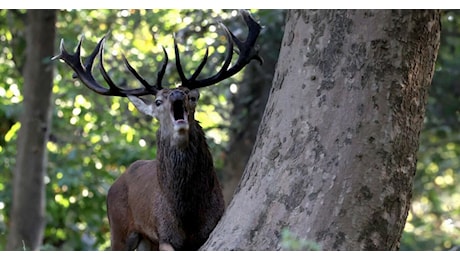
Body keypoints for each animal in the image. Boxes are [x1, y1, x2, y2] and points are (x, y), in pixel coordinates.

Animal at [52, 9, 260, 250]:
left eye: (190, 96)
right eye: (159, 101)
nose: (177, 94)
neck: (187, 214)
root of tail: (115, 183)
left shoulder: (210, 226)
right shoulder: (164, 234)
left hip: (145, 240)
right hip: (119, 228)